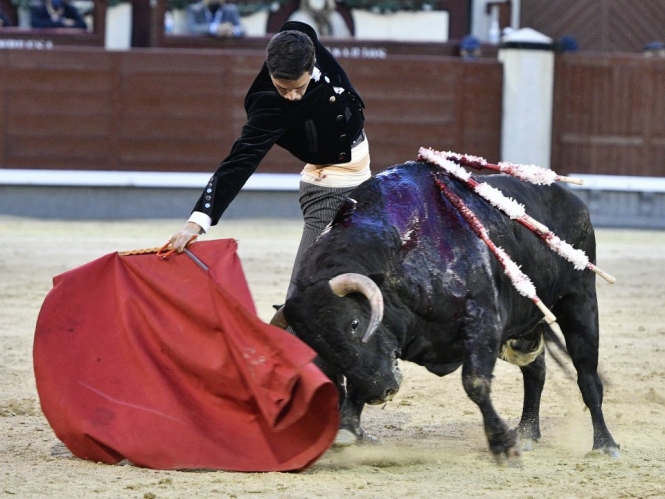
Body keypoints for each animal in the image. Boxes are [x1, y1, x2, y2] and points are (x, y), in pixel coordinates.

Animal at [282, 160, 620, 460]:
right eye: (319, 346)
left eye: (354, 324)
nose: (381, 392)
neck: (400, 253)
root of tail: (574, 201)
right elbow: (360, 371)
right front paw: (347, 428)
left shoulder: (484, 322)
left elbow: (475, 383)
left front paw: (501, 444)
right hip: (525, 326)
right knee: (535, 372)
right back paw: (526, 434)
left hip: (580, 302)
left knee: (587, 377)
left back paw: (604, 445)